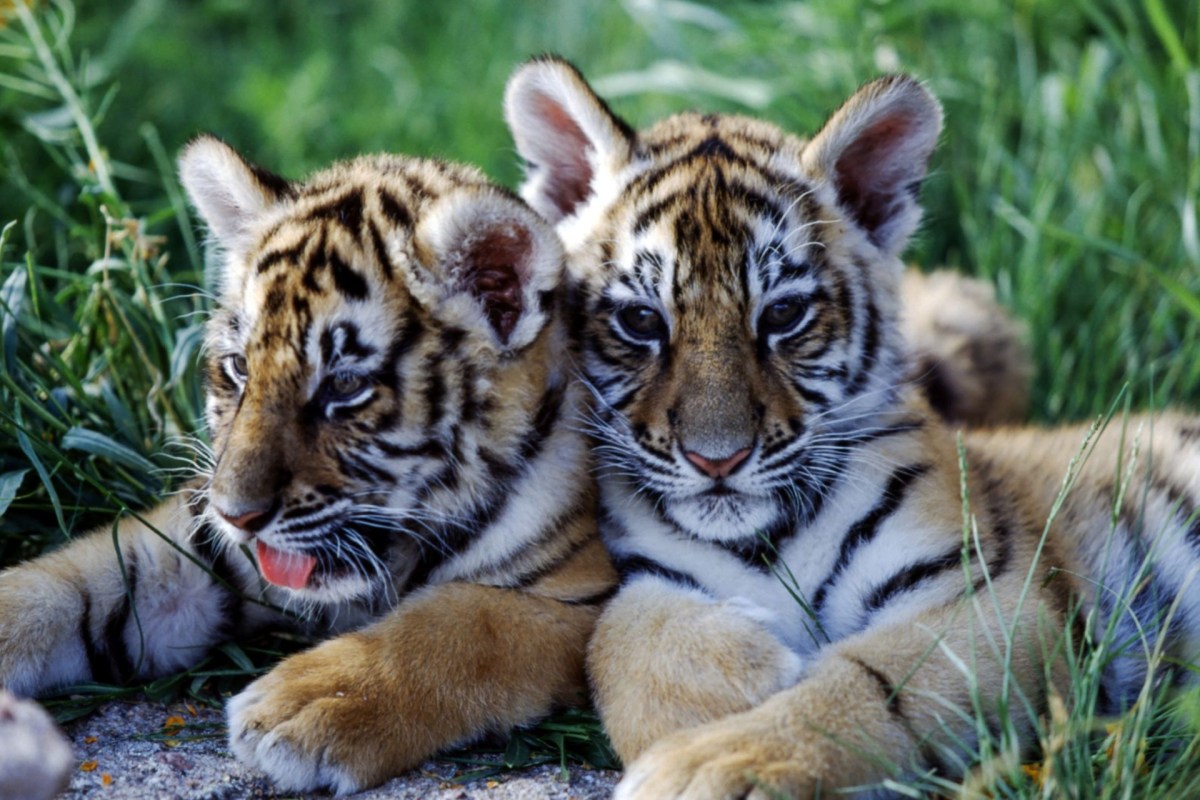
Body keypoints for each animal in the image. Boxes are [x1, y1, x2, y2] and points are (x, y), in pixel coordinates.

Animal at [0, 135, 617, 794]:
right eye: (239, 367)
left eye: (344, 385)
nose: (236, 516)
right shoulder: (196, 549)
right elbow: (61, 583)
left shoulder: (595, 598)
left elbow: (466, 621)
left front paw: (305, 703)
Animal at [504, 57, 1200, 798]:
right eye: (641, 321)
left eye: (783, 315)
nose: (717, 460)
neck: (767, 543)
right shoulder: (641, 572)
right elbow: (615, 641)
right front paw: (736, 679)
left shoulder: (996, 596)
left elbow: (869, 685)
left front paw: (710, 764)